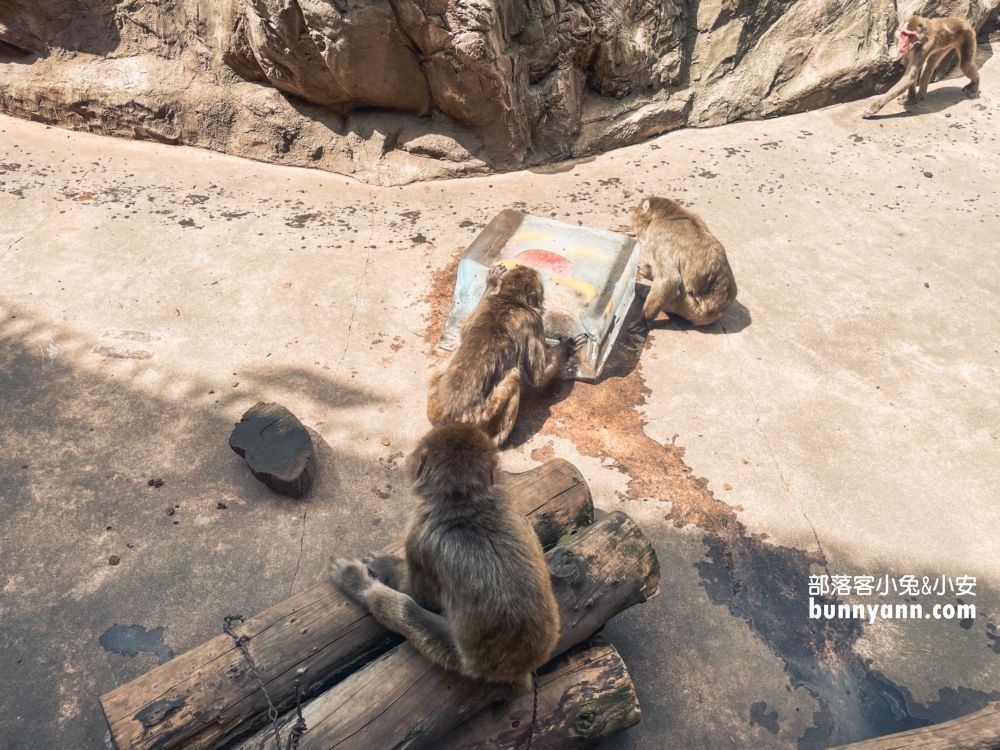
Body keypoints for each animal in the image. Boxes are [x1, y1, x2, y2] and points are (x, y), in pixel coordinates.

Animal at [330, 424, 560, 688]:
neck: (468, 508)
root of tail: (522, 667)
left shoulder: (419, 539)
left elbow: (417, 595)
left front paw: (386, 566)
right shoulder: (510, 511)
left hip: (457, 658)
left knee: (397, 606)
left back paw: (354, 580)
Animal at [424, 266, 584, 446]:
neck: (511, 300)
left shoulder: (489, 302)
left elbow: (464, 332)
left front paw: (493, 283)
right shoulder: (533, 321)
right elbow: (539, 376)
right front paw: (569, 347)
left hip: (433, 402)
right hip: (485, 417)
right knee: (513, 376)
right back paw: (499, 439)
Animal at [628, 195, 740, 334]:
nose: (636, 234)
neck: (667, 216)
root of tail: (720, 313)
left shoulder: (659, 235)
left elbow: (670, 280)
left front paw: (644, 320)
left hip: (689, 308)